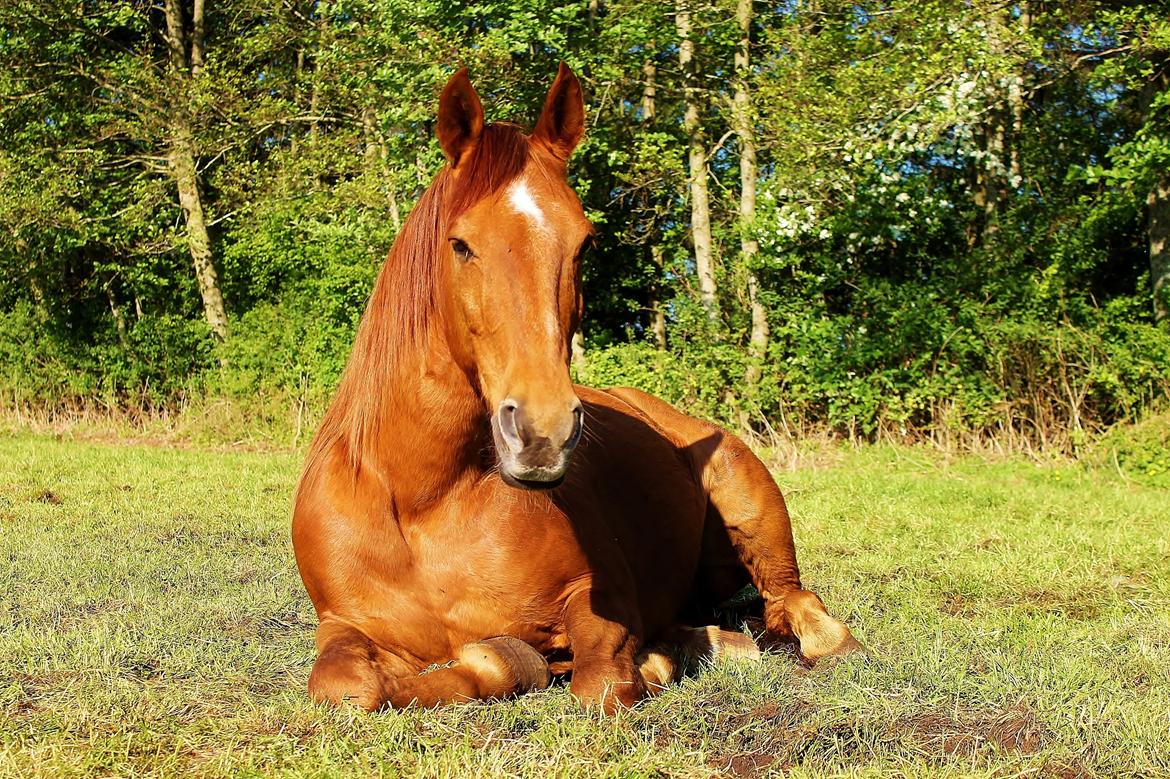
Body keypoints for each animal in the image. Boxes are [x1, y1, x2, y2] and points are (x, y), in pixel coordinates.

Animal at [292, 63, 861, 711]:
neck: (422, 501)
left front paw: (627, 663)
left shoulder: (599, 595)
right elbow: (348, 686)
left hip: (752, 508)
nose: (543, 433)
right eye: (459, 244)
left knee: (796, 604)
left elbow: (599, 681)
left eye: (584, 243)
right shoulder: (341, 624)